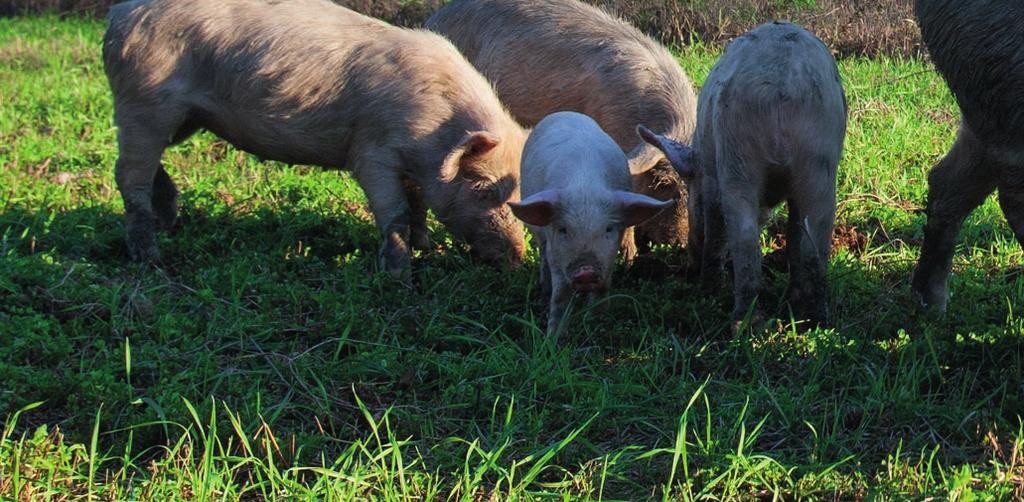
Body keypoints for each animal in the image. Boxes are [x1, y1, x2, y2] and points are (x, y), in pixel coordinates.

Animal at [102, 0, 528, 276]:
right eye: (483, 187)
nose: (518, 255)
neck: (433, 132)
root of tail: (118, 15)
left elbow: (419, 203)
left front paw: (426, 248)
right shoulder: (371, 151)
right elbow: (396, 212)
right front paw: (399, 276)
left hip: (183, 117)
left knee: (150, 166)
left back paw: (170, 221)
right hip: (144, 103)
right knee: (128, 175)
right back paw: (150, 258)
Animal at [509, 113, 671, 333]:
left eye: (608, 229)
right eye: (563, 230)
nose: (586, 271)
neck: (585, 187)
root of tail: (566, 112)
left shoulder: (609, 253)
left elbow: (603, 287)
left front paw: (597, 322)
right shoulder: (555, 250)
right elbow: (560, 295)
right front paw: (554, 335)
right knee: (542, 255)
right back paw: (543, 292)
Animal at [688, 21, 847, 323]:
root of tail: (780, 84)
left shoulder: (711, 176)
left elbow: (714, 224)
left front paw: (707, 291)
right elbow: (795, 234)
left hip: (736, 151)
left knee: (743, 235)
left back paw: (744, 321)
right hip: (818, 155)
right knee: (816, 234)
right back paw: (814, 318)